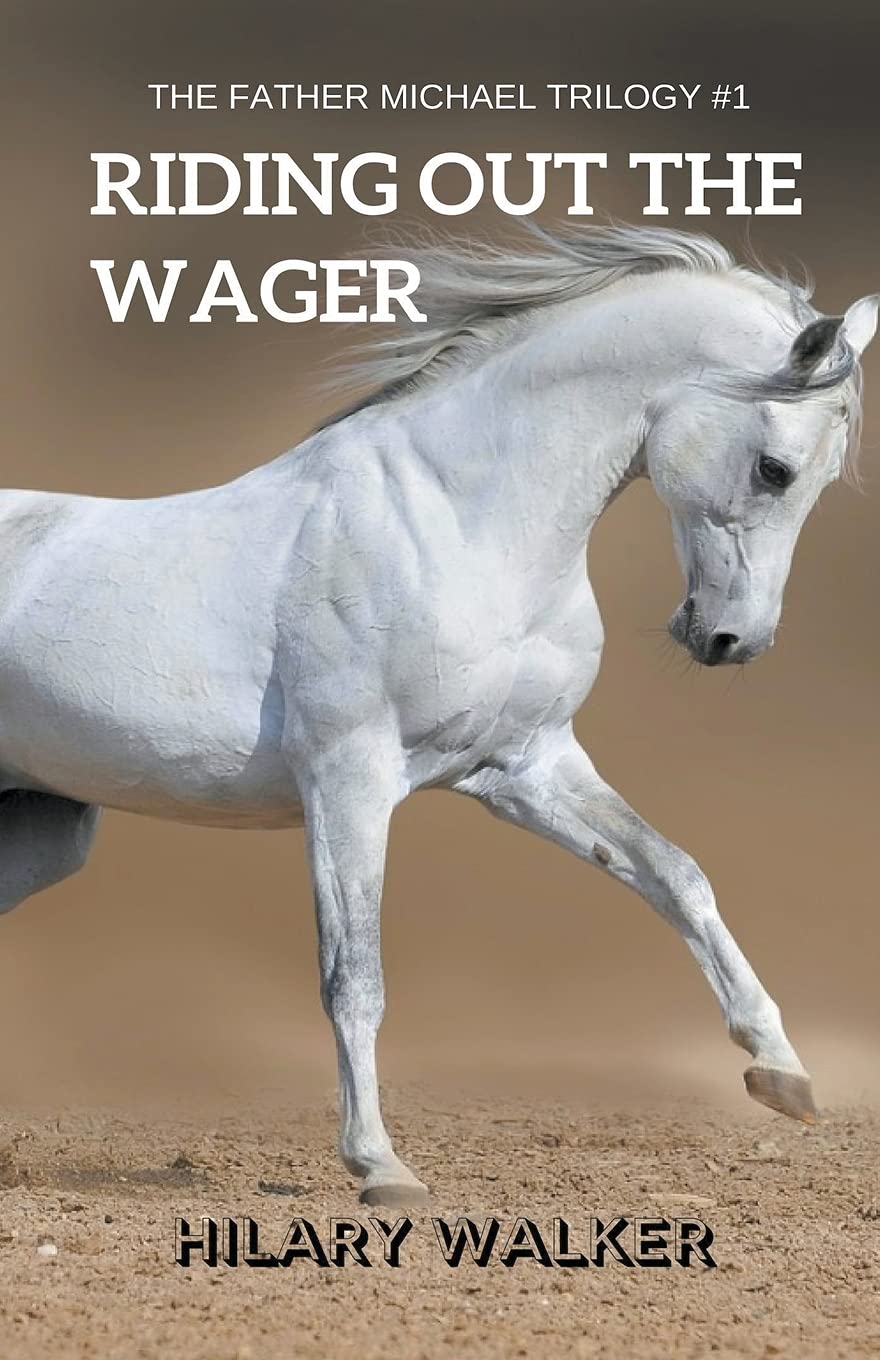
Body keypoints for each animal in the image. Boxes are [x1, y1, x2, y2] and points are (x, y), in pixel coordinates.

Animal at [0, 224, 875, 1206]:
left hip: (43, 830)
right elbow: (355, 977)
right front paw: (379, 1167)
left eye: (823, 478)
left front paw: (781, 1072)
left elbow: (674, 875)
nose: (732, 640)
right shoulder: (349, 781)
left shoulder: (526, 767)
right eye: (775, 469)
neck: (459, 523)